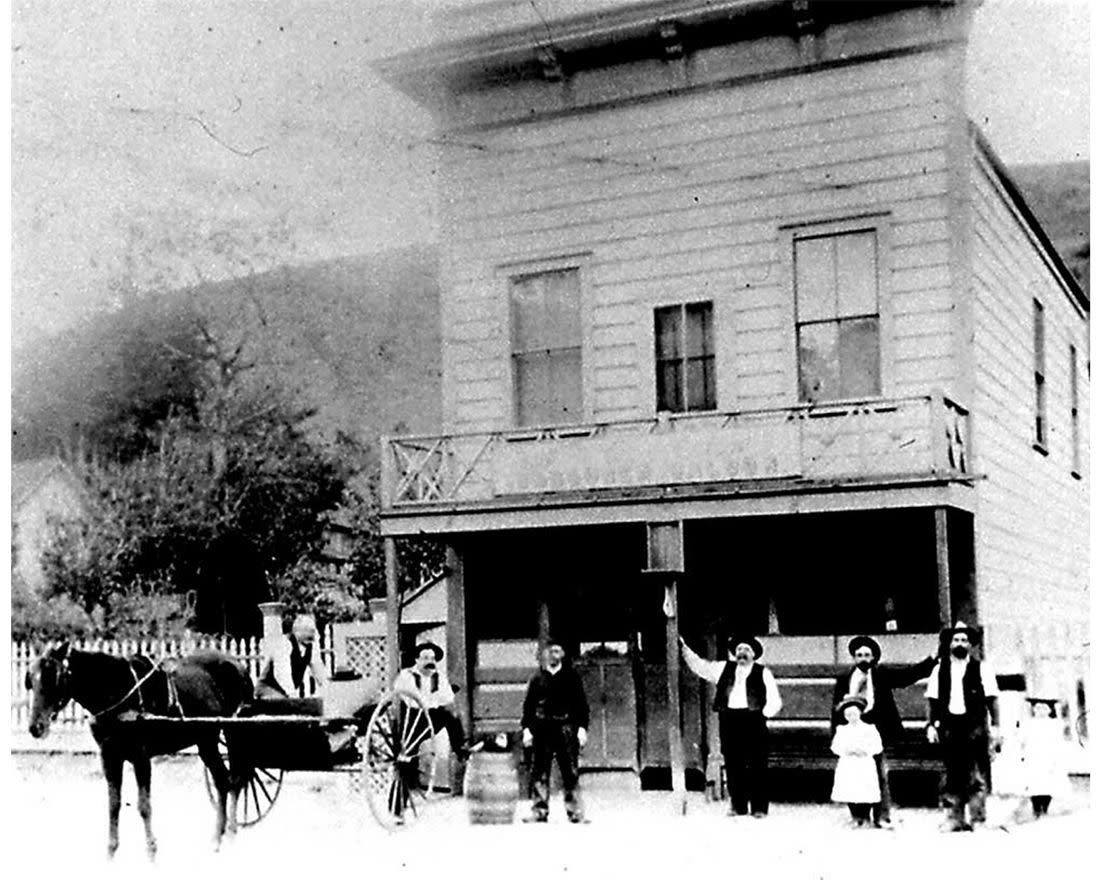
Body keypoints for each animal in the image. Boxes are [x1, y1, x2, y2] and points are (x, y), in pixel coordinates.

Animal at [26, 638, 254, 858]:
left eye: (54, 677)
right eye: (31, 680)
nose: (36, 727)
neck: (116, 690)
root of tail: (238, 665)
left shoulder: (141, 756)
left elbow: (144, 805)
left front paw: (151, 851)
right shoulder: (109, 756)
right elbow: (114, 804)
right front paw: (111, 851)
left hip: (233, 732)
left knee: (235, 780)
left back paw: (230, 833)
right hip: (206, 740)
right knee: (223, 781)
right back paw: (218, 839)